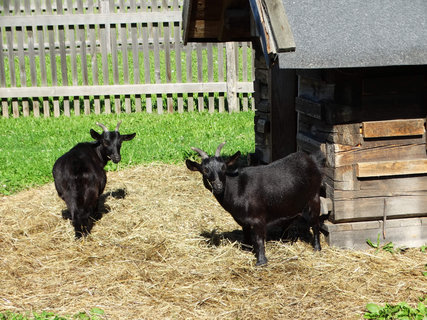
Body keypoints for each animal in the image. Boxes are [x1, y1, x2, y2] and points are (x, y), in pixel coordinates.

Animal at [186, 142, 324, 264]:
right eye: (205, 170)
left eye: (224, 167)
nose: (219, 186)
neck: (238, 189)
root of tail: (311, 159)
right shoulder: (242, 219)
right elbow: (246, 233)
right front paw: (246, 249)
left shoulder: (258, 218)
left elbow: (258, 239)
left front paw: (261, 261)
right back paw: (283, 240)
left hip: (314, 197)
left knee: (315, 223)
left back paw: (317, 247)